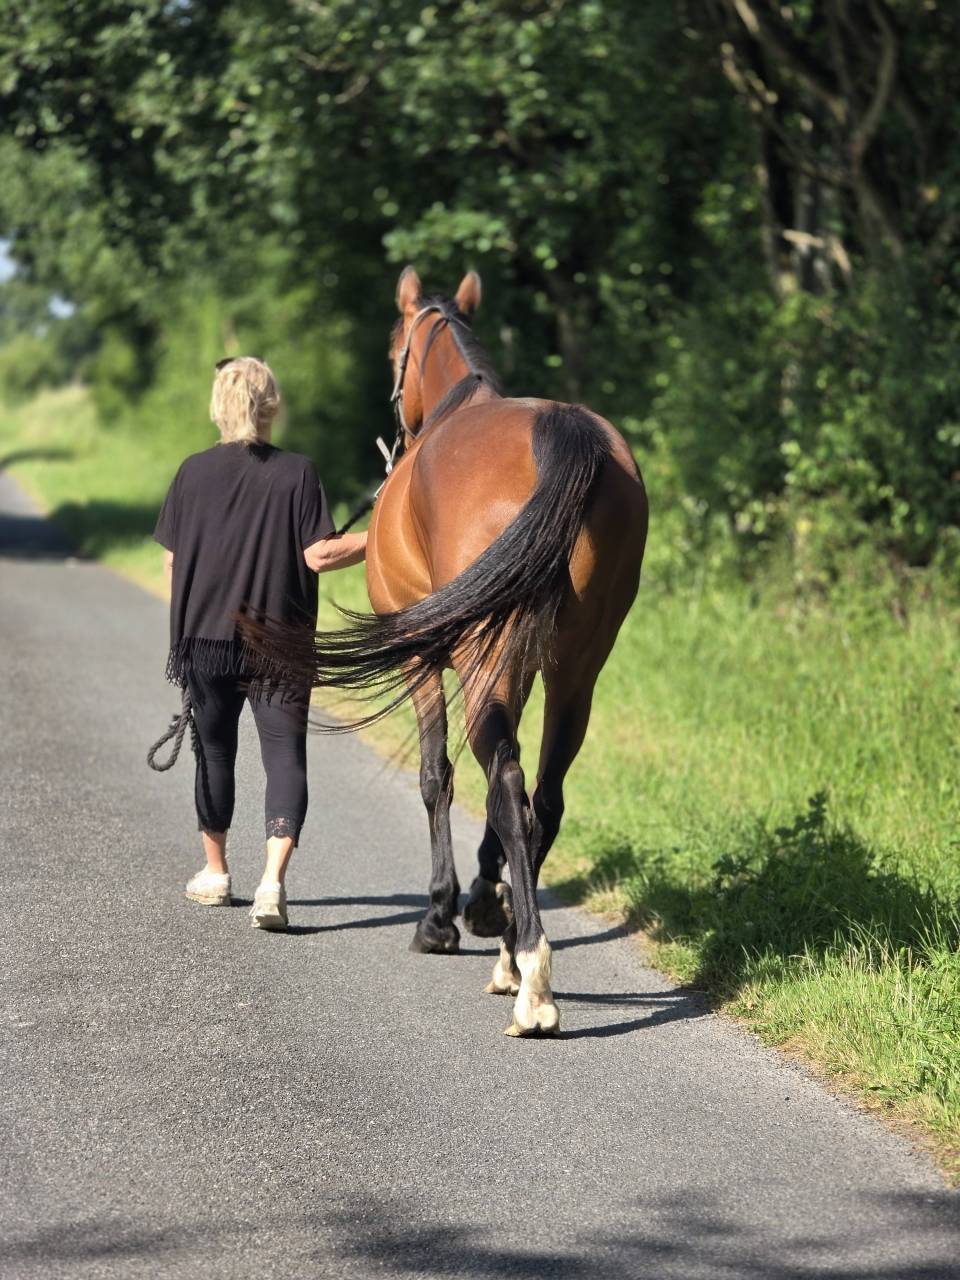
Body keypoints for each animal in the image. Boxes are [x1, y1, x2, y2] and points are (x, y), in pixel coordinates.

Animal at [248, 267, 647, 1036]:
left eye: (392, 349)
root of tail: (567, 434)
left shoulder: (423, 657)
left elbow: (438, 776)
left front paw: (441, 914)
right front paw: (486, 903)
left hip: (488, 659)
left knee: (507, 781)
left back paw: (532, 979)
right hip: (576, 668)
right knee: (542, 794)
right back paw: (514, 952)